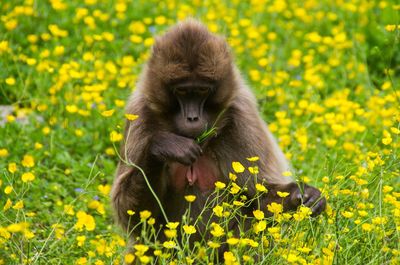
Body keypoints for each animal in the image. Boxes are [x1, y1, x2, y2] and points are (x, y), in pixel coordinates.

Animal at [109, 19, 324, 246]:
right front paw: (164, 147)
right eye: (182, 91)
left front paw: (304, 196)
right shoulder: (140, 115)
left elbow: (261, 196)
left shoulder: (242, 115)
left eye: (202, 90)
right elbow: (133, 215)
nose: (192, 118)